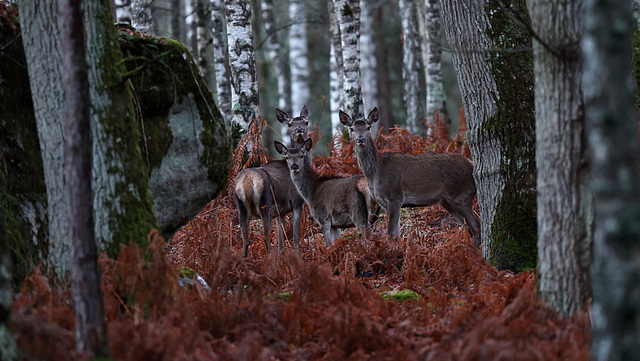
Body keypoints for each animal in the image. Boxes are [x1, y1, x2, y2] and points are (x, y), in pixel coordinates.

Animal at [234, 105, 312, 256]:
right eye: (290, 124)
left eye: (306, 122)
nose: (299, 129)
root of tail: (246, 183)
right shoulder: (296, 202)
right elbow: (295, 236)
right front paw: (298, 257)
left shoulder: (280, 211)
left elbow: (281, 239)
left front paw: (281, 256)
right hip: (266, 205)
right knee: (265, 237)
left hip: (242, 208)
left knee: (245, 240)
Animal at [340, 107, 480, 248]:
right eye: (351, 129)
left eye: (368, 127)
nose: (360, 139)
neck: (375, 172)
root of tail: (471, 164)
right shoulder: (385, 203)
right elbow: (396, 234)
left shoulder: (395, 197)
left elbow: (391, 233)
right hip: (447, 201)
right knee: (467, 226)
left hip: (461, 195)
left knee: (476, 225)